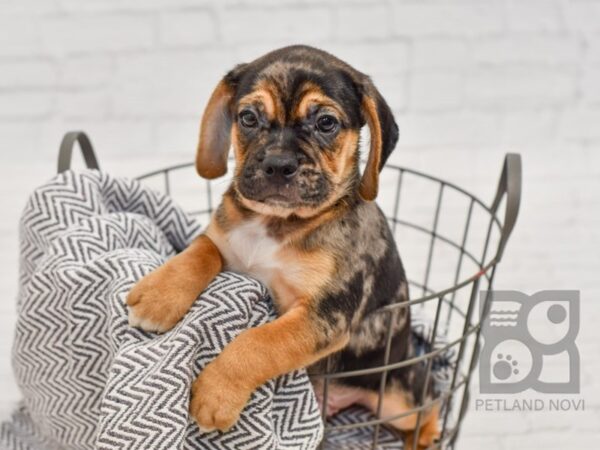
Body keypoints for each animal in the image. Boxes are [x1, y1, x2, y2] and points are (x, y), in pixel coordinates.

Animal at [126, 44, 438, 446]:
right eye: (247, 117)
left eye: (326, 123)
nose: (277, 164)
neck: (277, 224)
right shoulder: (224, 243)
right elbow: (201, 251)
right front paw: (159, 296)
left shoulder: (323, 315)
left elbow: (260, 342)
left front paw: (215, 392)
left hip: (398, 395)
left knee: (429, 406)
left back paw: (425, 438)